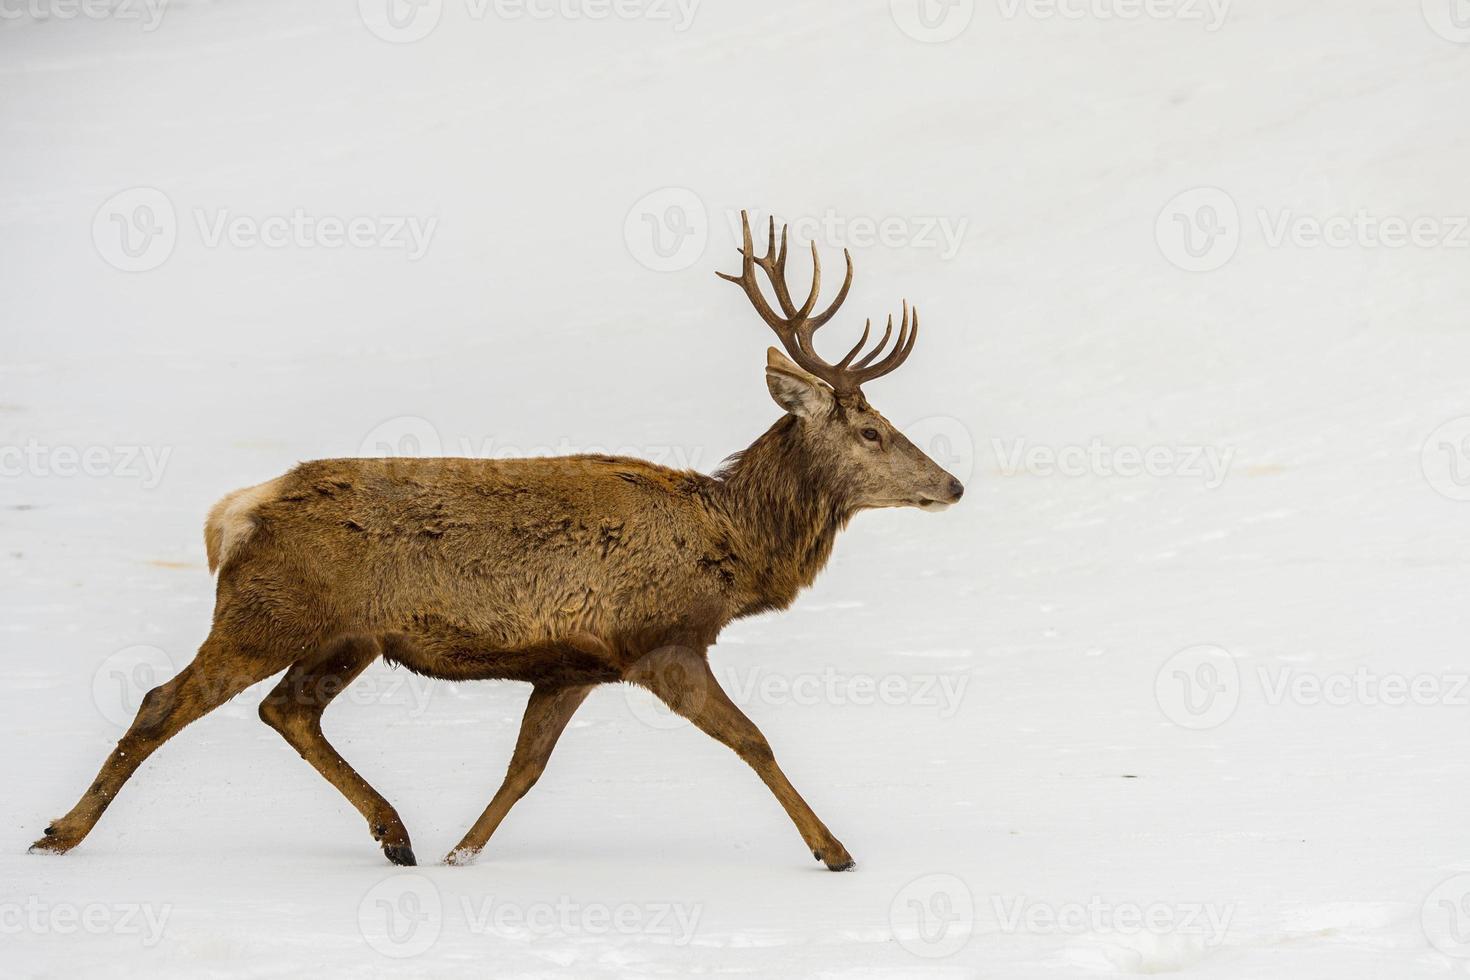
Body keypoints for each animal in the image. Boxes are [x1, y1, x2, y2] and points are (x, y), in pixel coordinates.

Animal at [28, 211, 964, 869]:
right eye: (873, 431)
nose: (952, 484)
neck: (734, 550)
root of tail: (236, 511)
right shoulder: (659, 639)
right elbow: (752, 740)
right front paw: (834, 850)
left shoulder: (573, 664)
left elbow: (524, 769)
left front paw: (461, 850)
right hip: (268, 609)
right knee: (165, 701)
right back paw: (61, 832)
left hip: (346, 635)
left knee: (286, 709)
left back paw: (397, 833)